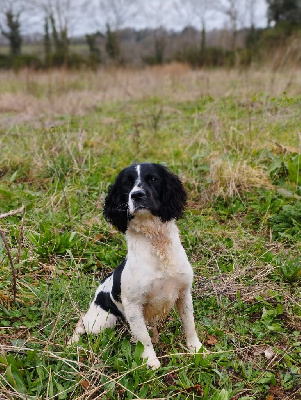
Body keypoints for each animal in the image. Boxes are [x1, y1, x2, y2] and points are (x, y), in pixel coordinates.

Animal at [68, 162, 202, 368]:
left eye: (153, 179)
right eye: (126, 183)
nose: (137, 195)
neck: (157, 244)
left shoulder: (184, 293)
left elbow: (190, 324)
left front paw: (196, 349)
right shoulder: (133, 306)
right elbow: (143, 339)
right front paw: (151, 361)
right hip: (102, 321)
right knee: (82, 321)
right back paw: (72, 342)